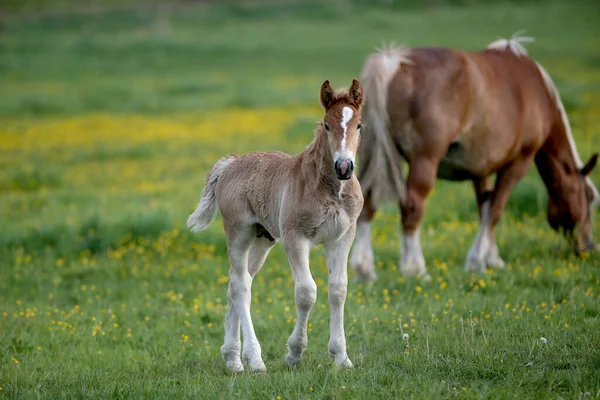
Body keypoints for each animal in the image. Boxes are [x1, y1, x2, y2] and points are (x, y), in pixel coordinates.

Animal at [188, 79, 366, 374]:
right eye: (327, 125)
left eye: (359, 125)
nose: (344, 167)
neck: (332, 189)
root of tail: (231, 163)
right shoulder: (296, 237)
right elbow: (306, 292)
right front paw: (294, 353)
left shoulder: (342, 237)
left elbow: (338, 289)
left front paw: (341, 357)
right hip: (238, 232)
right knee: (241, 285)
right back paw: (254, 359)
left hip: (263, 239)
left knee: (235, 283)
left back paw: (232, 359)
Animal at [350, 35, 596, 282]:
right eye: (590, 199)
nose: (590, 246)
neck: (540, 93)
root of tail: (393, 62)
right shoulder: (519, 163)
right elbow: (495, 210)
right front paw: (477, 261)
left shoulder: (482, 169)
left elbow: (484, 209)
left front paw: (492, 259)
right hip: (424, 161)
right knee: (412, 207)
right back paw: (415, 269)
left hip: (371, 155)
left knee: (367, 201)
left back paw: (364, 270)